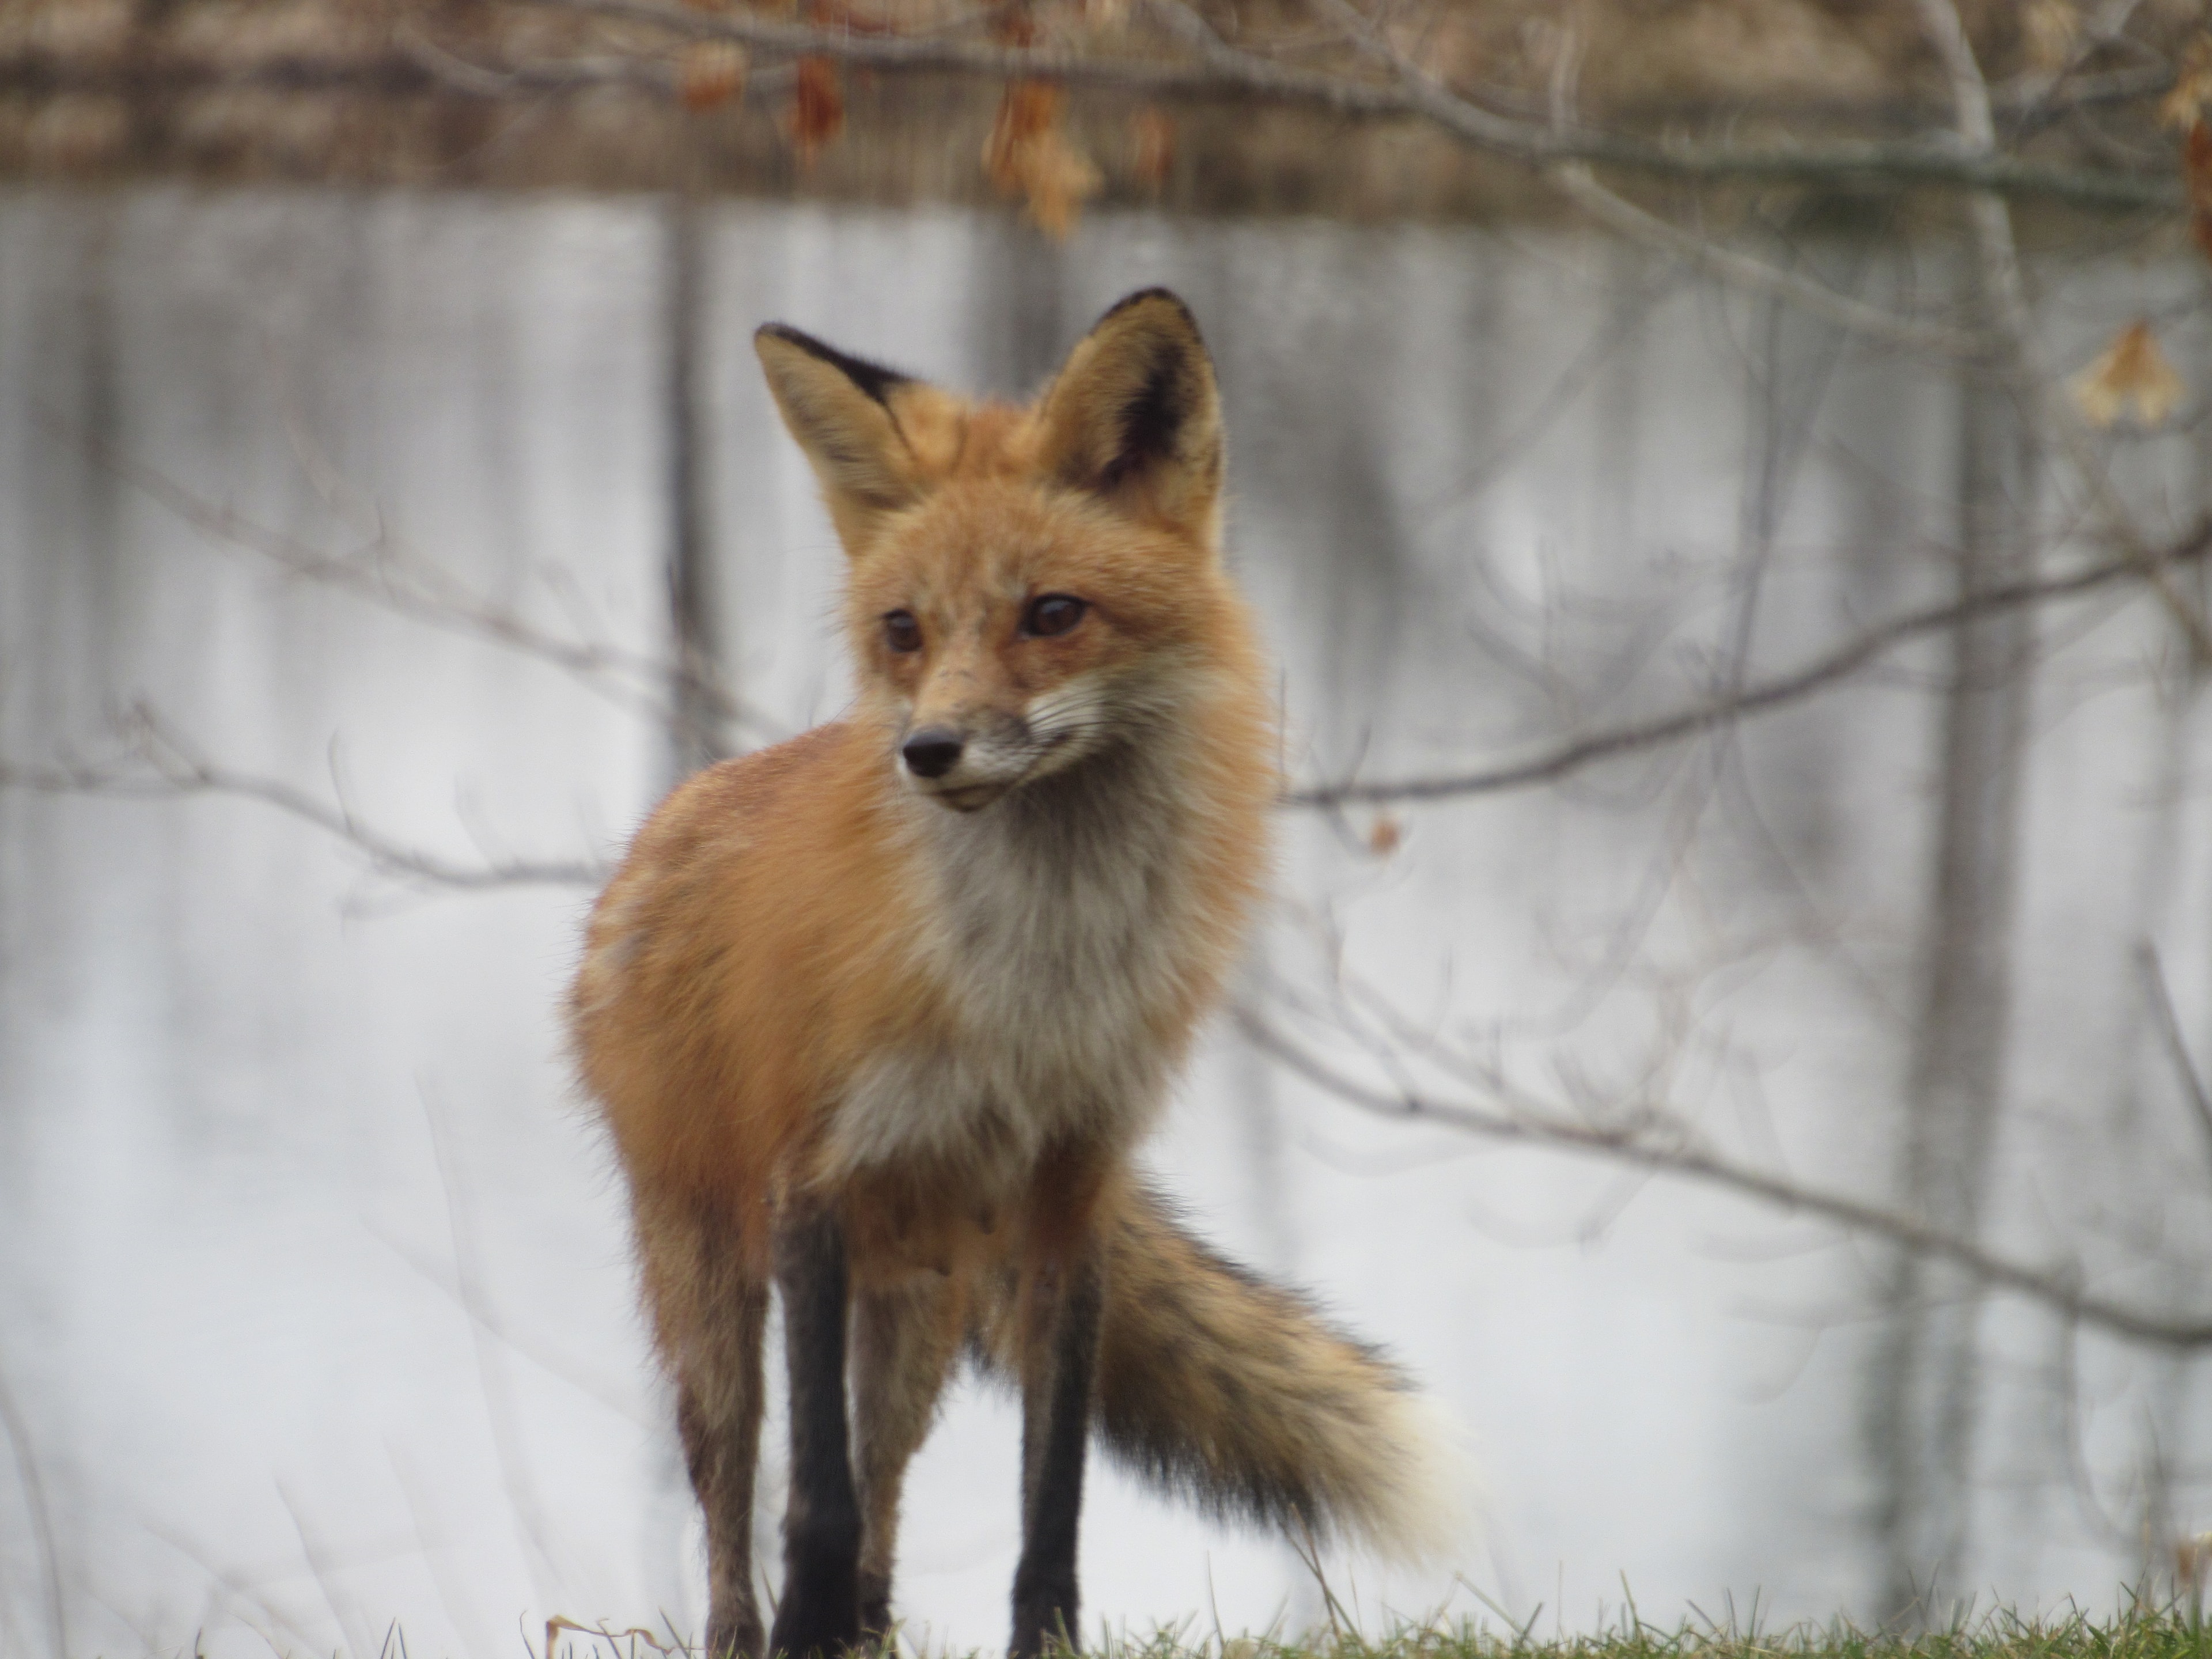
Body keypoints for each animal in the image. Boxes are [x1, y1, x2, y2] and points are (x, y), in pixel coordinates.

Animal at [568, 289, 1463, 1659]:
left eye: (1052, 614)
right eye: (904, 631)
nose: (929, 750)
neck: (1033, 990)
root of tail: (672, 815)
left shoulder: (1070, 1196)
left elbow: (1052, 1503)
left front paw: (1042, 1642)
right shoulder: (810, 1183)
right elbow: (811, 1507)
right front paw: (800, 1632)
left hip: (921, 1313)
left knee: (885, 1505)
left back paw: (865, 1634)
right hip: (712, 1288)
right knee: (736, 1516)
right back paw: (761, 1631)